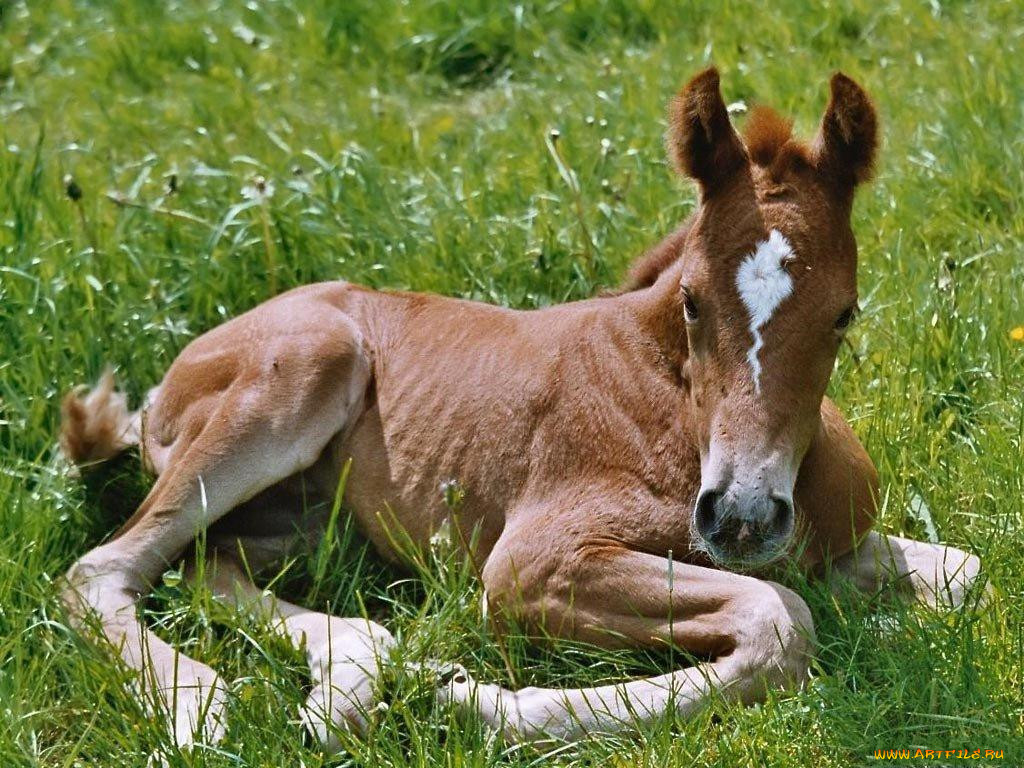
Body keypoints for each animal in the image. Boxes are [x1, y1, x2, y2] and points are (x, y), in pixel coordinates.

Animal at [58, 67, 983, 753]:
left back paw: (352, 674)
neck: (675, 404)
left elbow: (965, 577)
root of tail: (160, 391)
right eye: (691, 300)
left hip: (304, 525)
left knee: (201, 561)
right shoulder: (537, 560)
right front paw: (466, 703)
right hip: (310, 362)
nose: (744, 518)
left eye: (844, 313)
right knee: (105, 567)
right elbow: (779, 618)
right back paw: (204, 709)